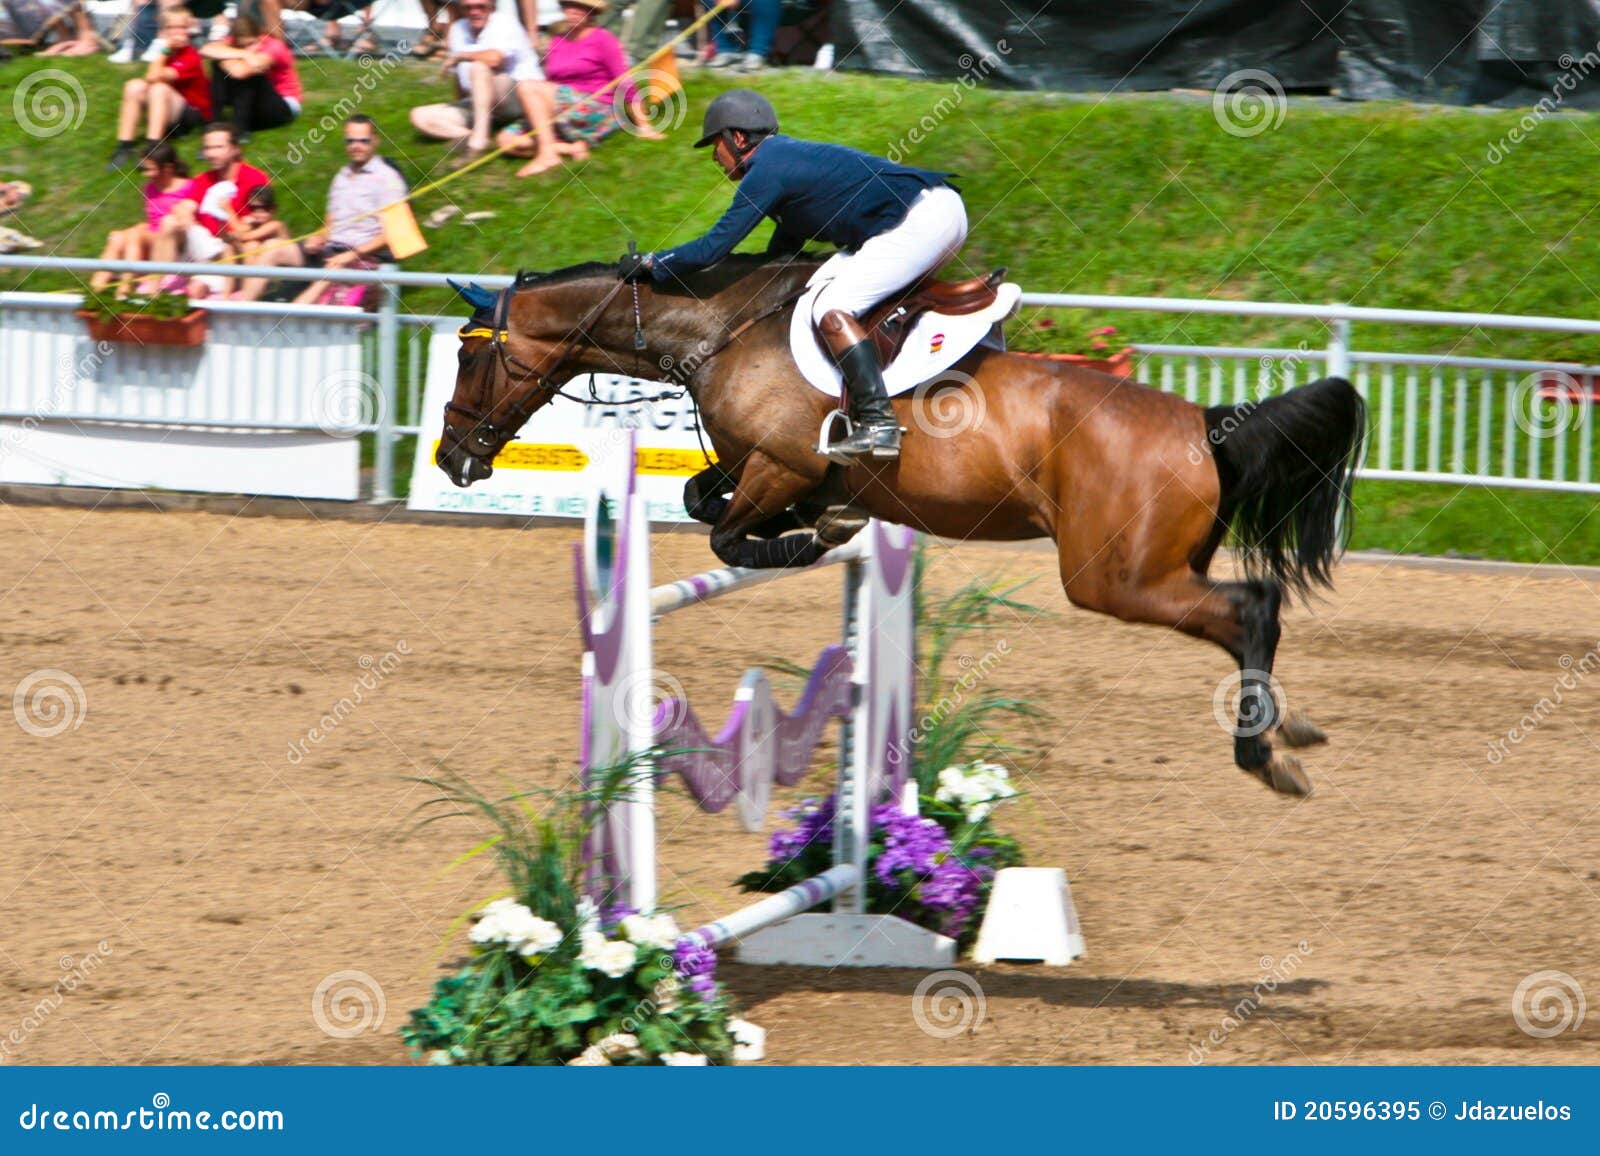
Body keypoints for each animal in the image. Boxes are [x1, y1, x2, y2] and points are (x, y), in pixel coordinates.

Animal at [436, 255, 1367, 797]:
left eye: (470, 354)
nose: (451, 458)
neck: (718, 331)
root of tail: (1206, 424)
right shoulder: (763, 471)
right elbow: (707, 503)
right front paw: (826, 525)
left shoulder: (780, 465)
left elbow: (727, 535)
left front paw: (811, 537)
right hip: (1154, 568)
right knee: (1252, 609)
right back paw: (1287, 730)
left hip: (1115, 577)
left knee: (1250, 609)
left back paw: (1266, 754)